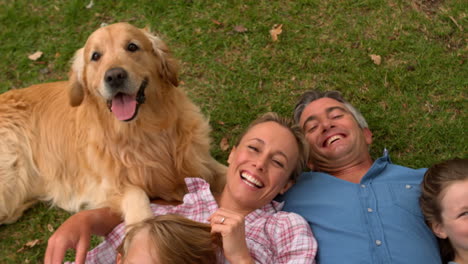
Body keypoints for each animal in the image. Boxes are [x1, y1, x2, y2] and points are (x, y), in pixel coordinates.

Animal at [0, 22, 227, 225]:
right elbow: (137, 195)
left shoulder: (200, 162)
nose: (114, 76)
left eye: (132, 47)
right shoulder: (105, 188)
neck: (142, 132)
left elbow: (226, 171)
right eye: (95, 56)